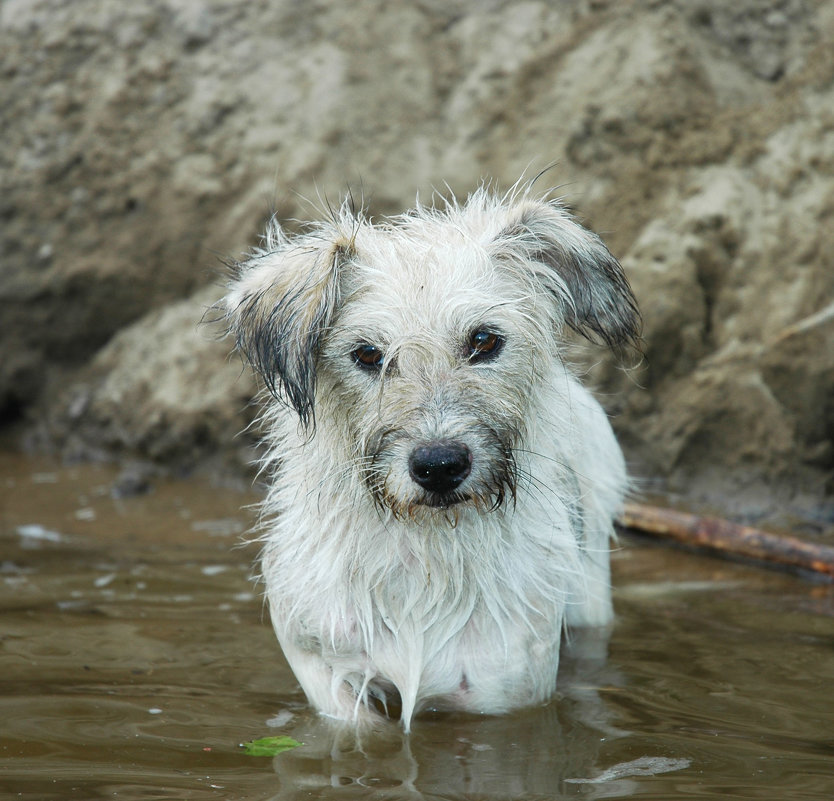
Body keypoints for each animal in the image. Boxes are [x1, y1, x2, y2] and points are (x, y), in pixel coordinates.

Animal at [221, 181, 636, 732]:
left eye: (484, 340)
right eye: (367, 354)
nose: (439, 466)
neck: (424, 556)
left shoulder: (503, 690)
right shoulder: (324, 668)